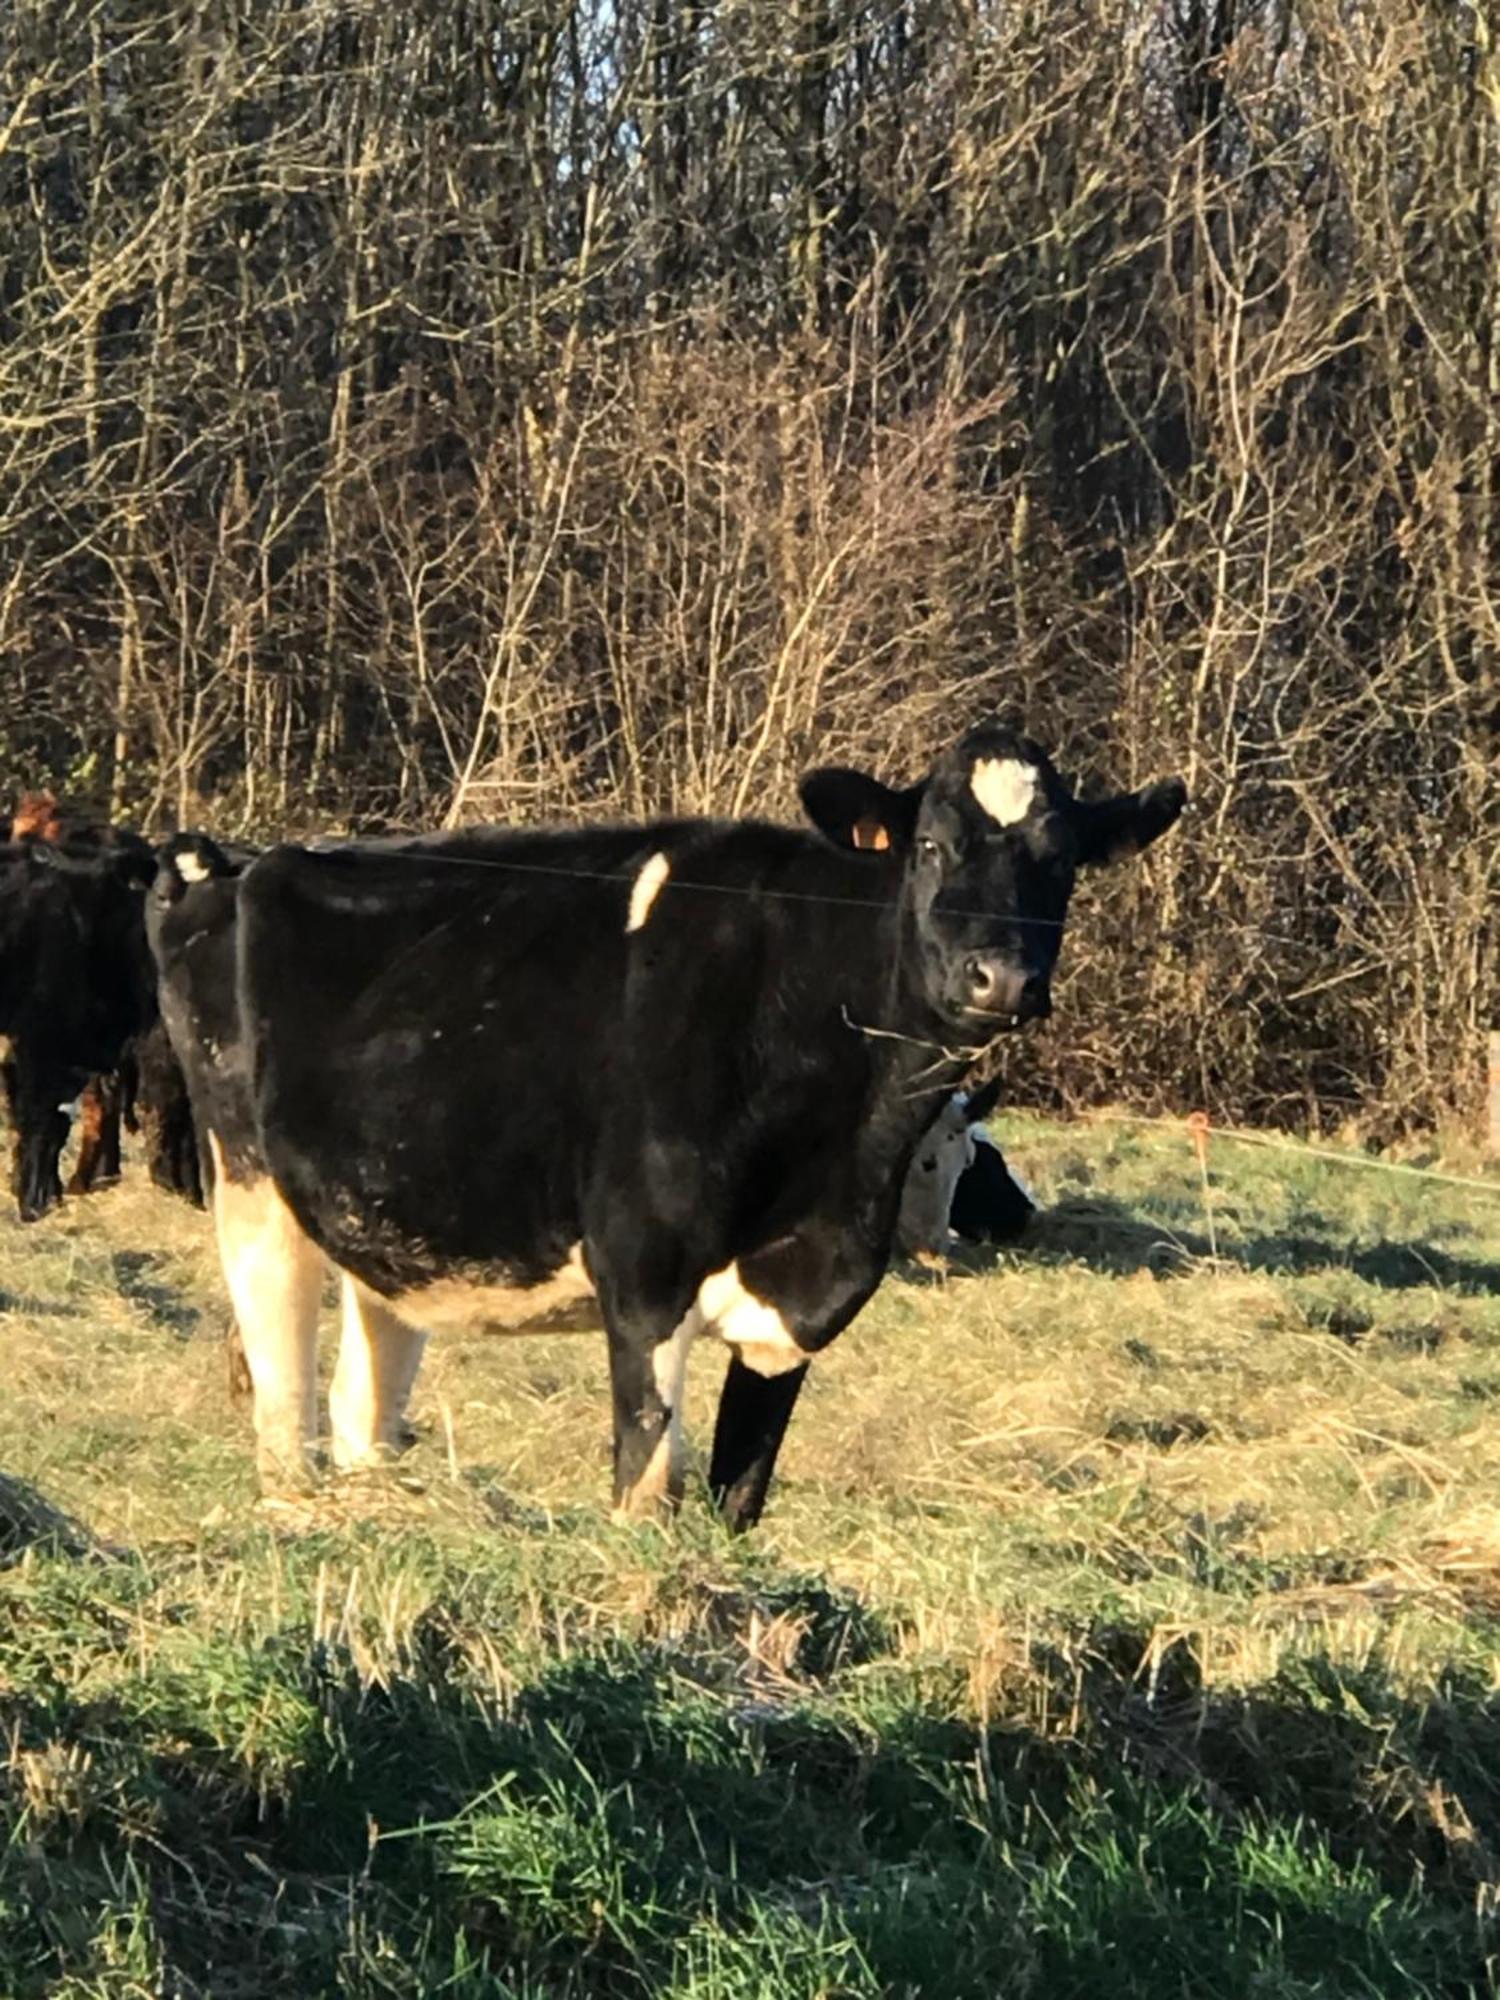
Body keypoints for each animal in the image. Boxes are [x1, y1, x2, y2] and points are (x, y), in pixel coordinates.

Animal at [150, 728, 1184, 1520]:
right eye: (930, 845)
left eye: (1062, 861)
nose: (1000, 978)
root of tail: (240, 855)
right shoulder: (644, 1274)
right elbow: (647, 1487)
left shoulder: (797, 1305)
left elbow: (740, 1498)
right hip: (251, 1188)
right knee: (284, 1410)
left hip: (394, 1221)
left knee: (362, 1400)